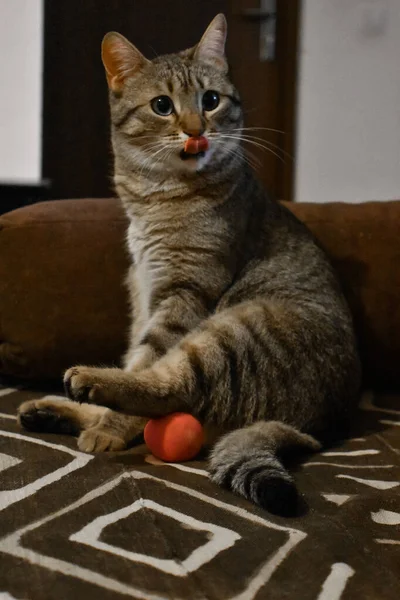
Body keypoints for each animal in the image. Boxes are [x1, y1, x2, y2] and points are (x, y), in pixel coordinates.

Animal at [18, 14, 360, 516]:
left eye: (211, 100)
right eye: (162, 106)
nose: (197, 128)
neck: (156, 198)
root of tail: (319, 427)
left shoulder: (184, 293)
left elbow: (146, 364)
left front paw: (108, 429)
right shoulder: (142, 290)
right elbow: (136, 353)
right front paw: (98, 421)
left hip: (233, 332)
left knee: (169, 388)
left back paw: (87, 386)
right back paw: (51, 409)